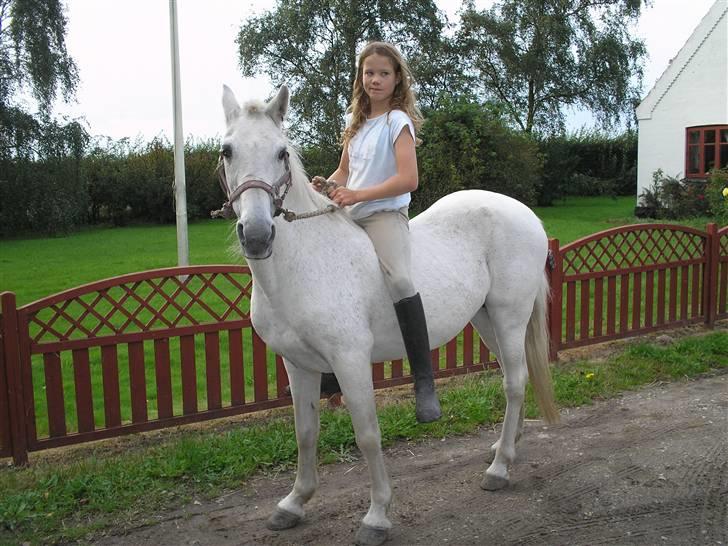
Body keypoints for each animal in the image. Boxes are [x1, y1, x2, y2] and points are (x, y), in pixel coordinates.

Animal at [217, 84, 560, 546]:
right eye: (227, 151)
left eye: (282, 153)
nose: (256, 236)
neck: (305, 262)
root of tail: (525, 214)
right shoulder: (298, 364)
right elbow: (305, 433)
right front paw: (294, 502)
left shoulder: (350, 362)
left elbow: (367, 435)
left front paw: (377, 515)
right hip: (486, 319)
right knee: (513, 376)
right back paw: (506, 447)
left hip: (509, 316)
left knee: (514, 383)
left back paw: (500, 467)